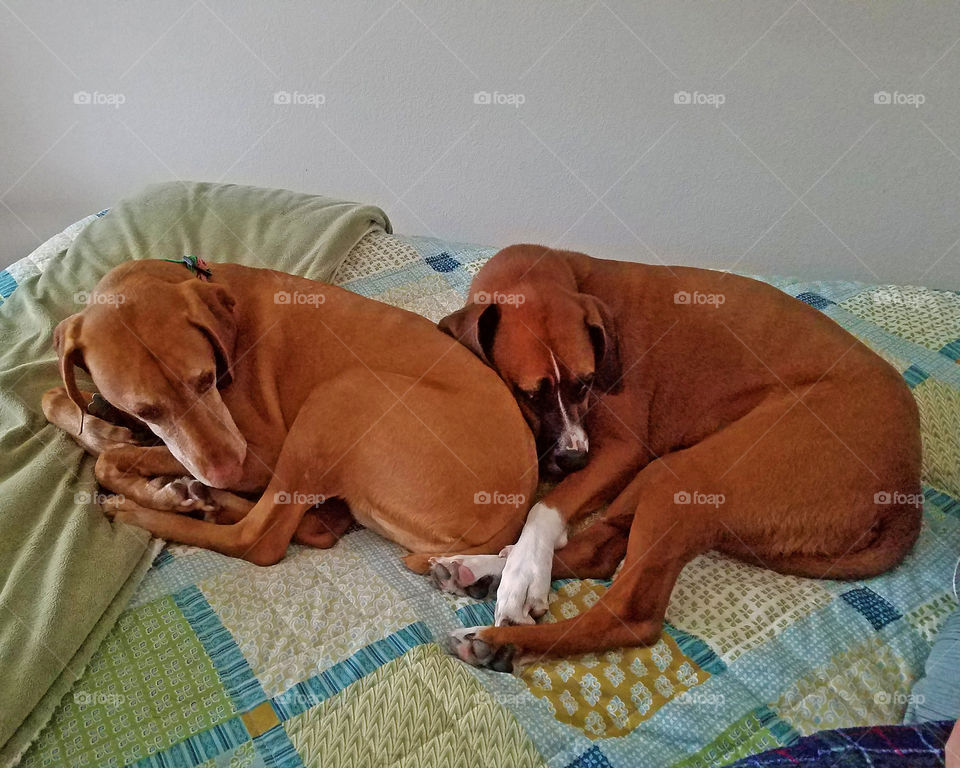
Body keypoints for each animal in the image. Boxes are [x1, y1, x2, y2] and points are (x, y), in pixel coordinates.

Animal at [43, 260, 540, 568]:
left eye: (206, 379)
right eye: (146, 408)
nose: (227, 473)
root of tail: (510, 515)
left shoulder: (260, 451)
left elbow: (111, 461)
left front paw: (151, 488)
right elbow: (57, 400)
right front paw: (107, 431)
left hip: (341, 396)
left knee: (258, 540)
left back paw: (152, 508)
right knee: (308, 524)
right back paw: (211, 500)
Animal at [434, 248, 924, 672]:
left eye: (586, 382)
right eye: (529, 394)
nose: (573, 460)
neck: (566, 273)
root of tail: (908, 490)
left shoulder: (621, 451)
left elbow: (543, 509)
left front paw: (525, 574)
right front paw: (516, 565)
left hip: (681, 476)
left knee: (628, 615)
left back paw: (502, 638)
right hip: (658, 475)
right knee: (599, 552)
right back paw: (482, 570)